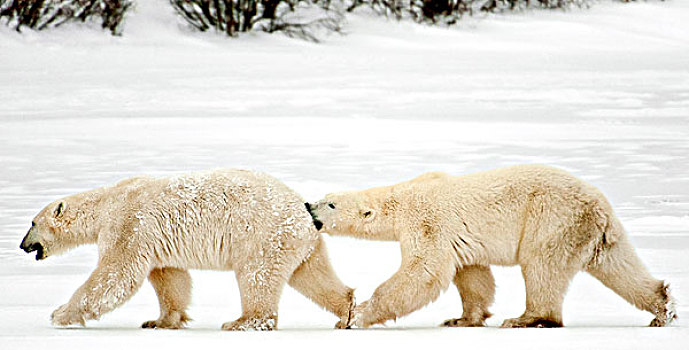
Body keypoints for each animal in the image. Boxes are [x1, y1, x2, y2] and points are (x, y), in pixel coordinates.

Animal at [20, 170, 354, 330]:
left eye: (32, 223)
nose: (23, 245)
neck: (106, 203)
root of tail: (304, 213)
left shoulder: (129, 224)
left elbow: (115, 276)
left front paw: (60, 314)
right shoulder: (154, 241)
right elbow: (170, 278)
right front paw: (160, 321)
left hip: (262, 235)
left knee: (256, 276)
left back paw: (242, 322)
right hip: (298, 242)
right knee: (311, 274)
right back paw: (347, 311)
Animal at [306, 164, 676, 328]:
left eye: (331, 204)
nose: (309, 207)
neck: (401, 199)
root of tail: (600, 207)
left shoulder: (427, 222)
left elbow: (424, 272)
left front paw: (355, 317)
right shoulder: (456, 238)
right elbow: (472, 275)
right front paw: (462, 319)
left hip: (551, 219)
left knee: (542, 266)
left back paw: (527, 319)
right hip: (596, 232)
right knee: (619, 266)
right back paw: (663, 309)